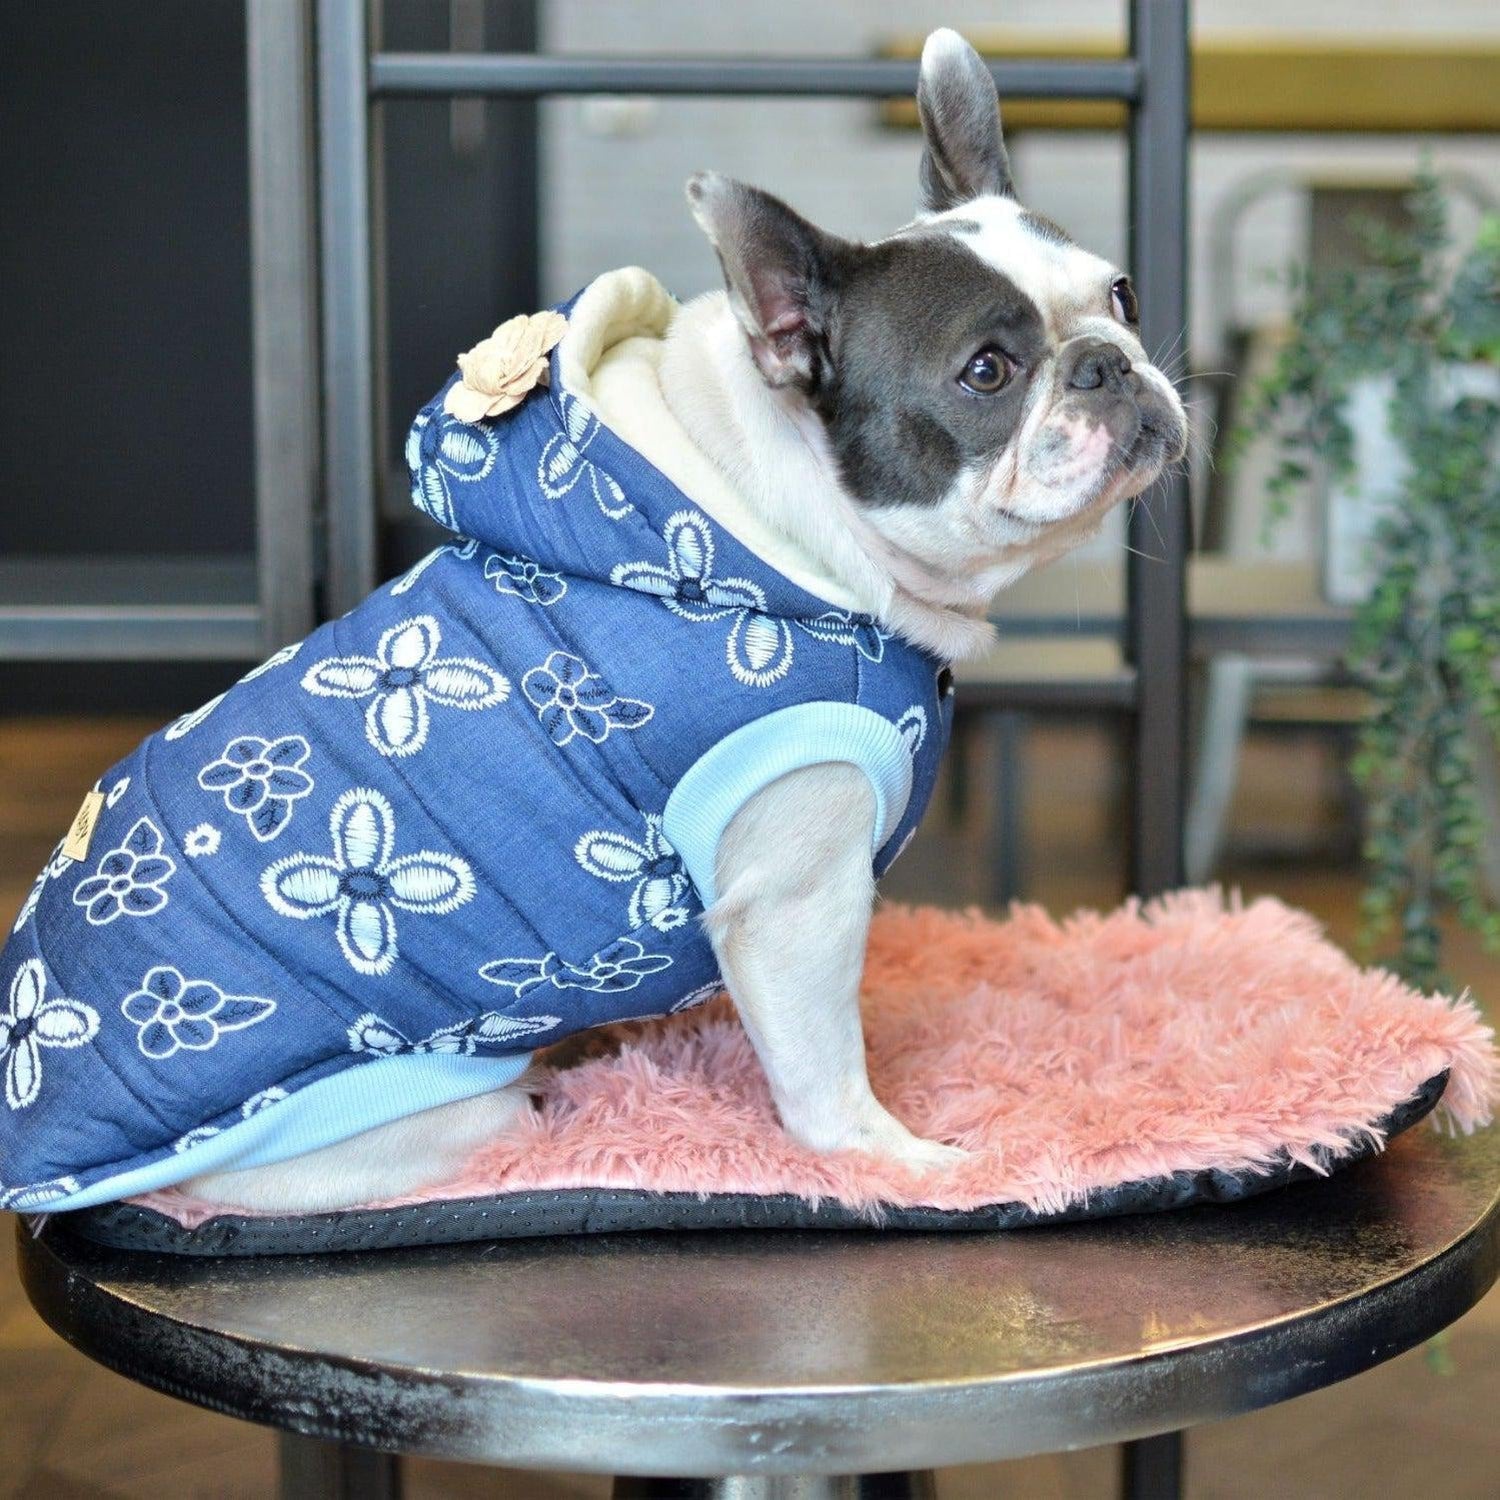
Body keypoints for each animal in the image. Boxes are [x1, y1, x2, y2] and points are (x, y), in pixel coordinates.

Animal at [0, 30, 1184, 1216]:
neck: (773, 523)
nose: (1109, 362)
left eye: (1122, 295)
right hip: (429, 1111)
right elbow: (824, 1072)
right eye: (988, 371)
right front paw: (898, 1164)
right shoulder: (796, 896)